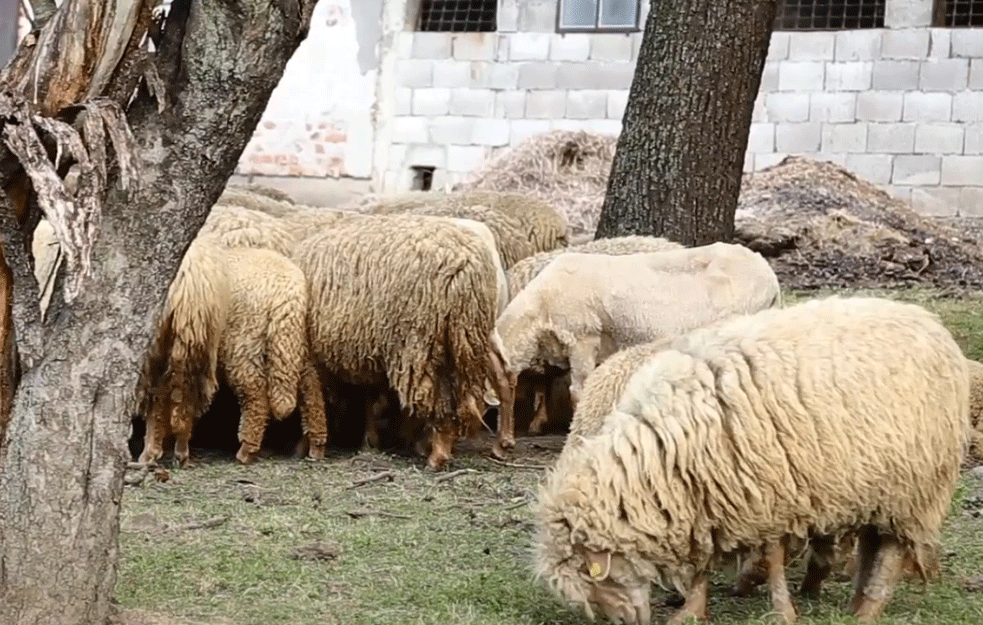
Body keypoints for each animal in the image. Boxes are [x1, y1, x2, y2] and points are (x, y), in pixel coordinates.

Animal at [137, 236, 312, 466]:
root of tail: (289, 291)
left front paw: (151, 451)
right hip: (282, 344)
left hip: (240, 343)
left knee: (255, 395)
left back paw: (245, 450)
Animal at [290, 214, 504, 468]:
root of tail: (466, 265)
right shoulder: (367, 352)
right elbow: (368, 400)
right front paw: (369, 441)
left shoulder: (312, 356)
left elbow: (313, 403)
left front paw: (306, 447)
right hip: (468, 340)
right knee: (485, 387)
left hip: (420, 344)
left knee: (438, 403)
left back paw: (436, 455)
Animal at [492, 241, 784, 456]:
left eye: (502, 387)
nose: (500, 447)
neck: (539, 309)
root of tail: (768, 273)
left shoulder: (583, 338)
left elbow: (579, 391)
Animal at [532, 296, 968, 624]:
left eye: (595, 578)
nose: (627, 622)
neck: (660, 456)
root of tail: (932, 324)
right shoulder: (706, 495)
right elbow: (702, 561)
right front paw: (692, 610)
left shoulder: (765, 491)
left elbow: (772, 557)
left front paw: (781, 611)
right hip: (880, 483)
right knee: (873, 544)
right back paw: (855, 601)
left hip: (916, 484)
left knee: (891, 551)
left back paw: (868, 610)